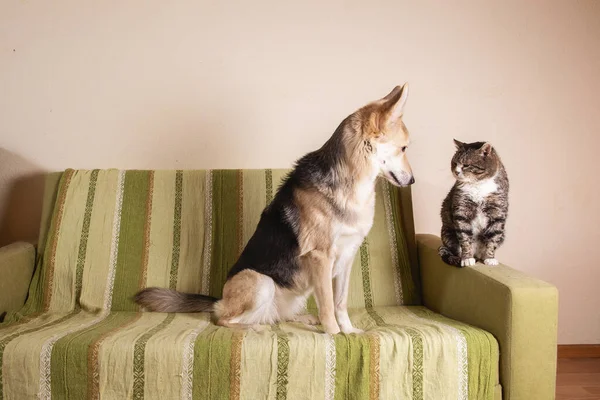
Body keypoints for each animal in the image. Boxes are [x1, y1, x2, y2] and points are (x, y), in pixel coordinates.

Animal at [136, 84, 414, 334]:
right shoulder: (321, 257)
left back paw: (299, 319)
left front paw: (349, 331)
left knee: (276, 316)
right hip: (261, 281)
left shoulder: (347, 258)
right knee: (226, 320)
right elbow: (327, 306)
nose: (412, 181)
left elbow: (340, 303)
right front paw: (335, 336)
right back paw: (253, 327)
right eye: (403, 148)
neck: (352, 180)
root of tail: (219, 299)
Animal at [438, 139, 508, 268]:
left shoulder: (497, 211)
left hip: (503, 235)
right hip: (448, 233)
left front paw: (490, 258)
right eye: (454, 163)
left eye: (466, 165)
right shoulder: (462, 209)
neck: (478, 184)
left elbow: (493, 237)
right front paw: (467, 258)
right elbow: (465, 237)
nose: (456, 172)